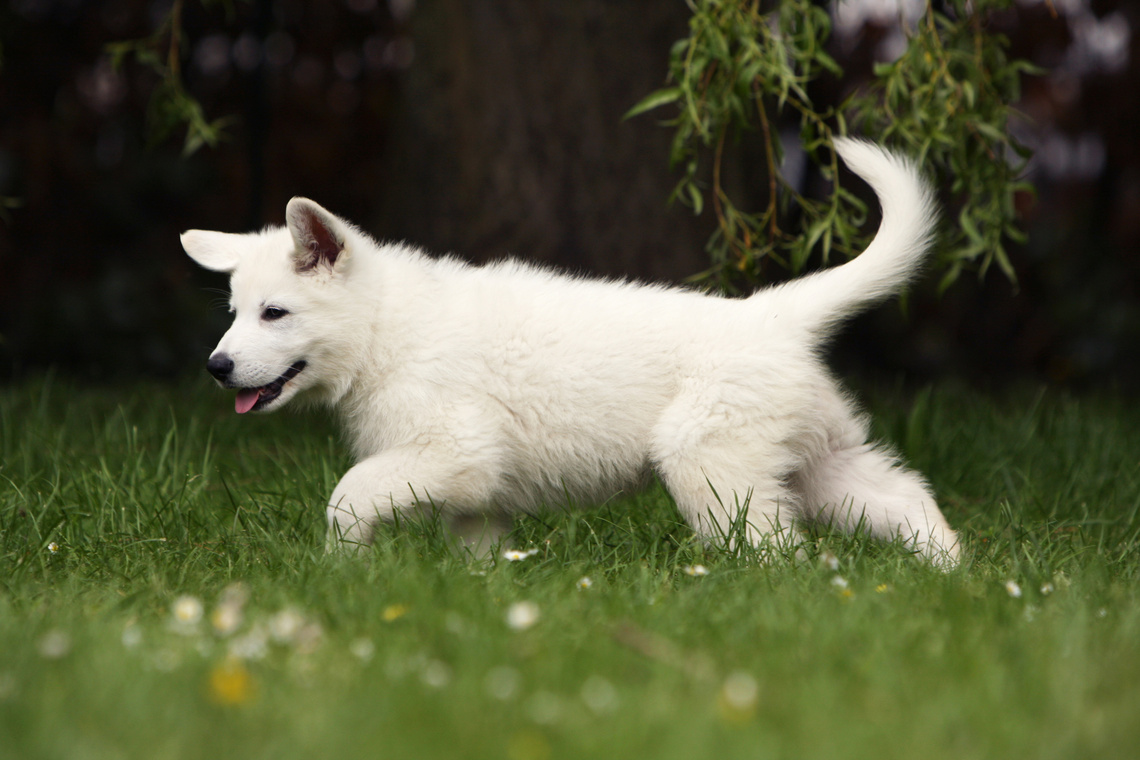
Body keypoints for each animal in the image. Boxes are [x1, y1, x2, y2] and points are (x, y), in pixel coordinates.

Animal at [184, 139, 962, 567]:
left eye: (275, 313)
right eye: (233, 315)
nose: (217, 368)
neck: (384, 331)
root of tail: (771, 314)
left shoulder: (455, 451)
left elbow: (348, 496)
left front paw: (341, 569)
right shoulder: (476, 493)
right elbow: (476, 552)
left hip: (714, 466)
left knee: (779, 549)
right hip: (820, 459)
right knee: (905, 500)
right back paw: (955, 576)